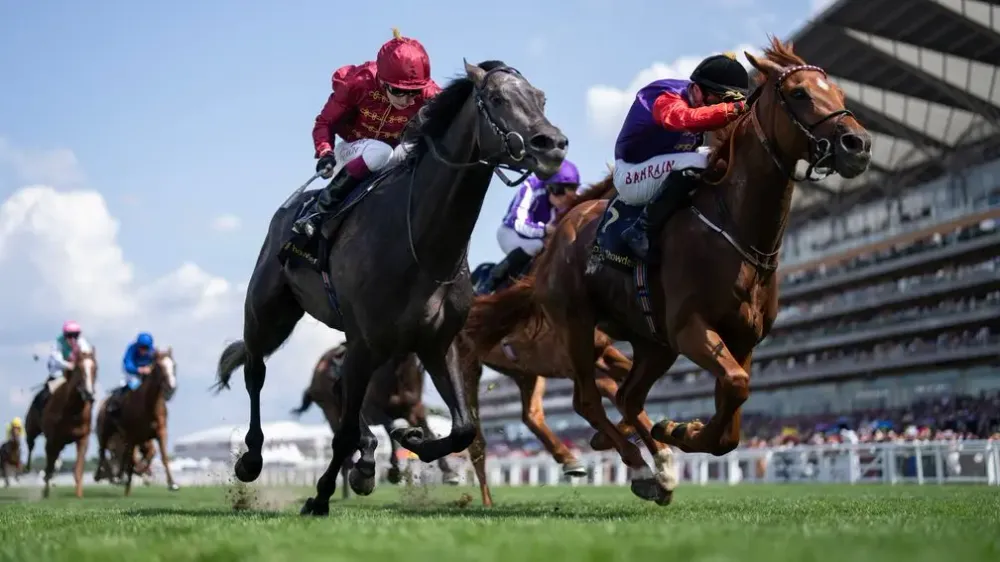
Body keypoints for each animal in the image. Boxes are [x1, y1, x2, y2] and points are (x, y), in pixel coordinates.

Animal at [24, 345, 98, 498]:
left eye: (95, 368)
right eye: (79, 369)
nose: (89, 394)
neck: (72, 411)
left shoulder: (83, 438)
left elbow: (78, 469)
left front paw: (79, 494)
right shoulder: (52, 439)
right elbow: (49, 466)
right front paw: (45, 491)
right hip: (32, 428)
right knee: (31, 444)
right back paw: (28, 468)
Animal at [96, 347, 179, 495]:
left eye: (174, 365)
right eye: (159, 366)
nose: (171, 388)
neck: (148, 405)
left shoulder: (159, 432)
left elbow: (161, 456)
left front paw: (172, 483)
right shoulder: (133, 435)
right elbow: (131, 460)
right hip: (105, 432)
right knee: (102, 452)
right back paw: (105, 475)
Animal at [290, 344, 461, 500]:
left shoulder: (415, 410)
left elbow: (429, 433)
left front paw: (449, 472)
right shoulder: (371, 410)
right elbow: (391, 427)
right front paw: (394, 471)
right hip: (330, 410)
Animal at [465, 37, 872, 504]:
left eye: (839, 93)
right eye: (800, 93)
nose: (858, 144)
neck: (733, 226)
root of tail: (556, 241)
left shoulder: (742, 338)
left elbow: (732, 416)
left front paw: (678, 430)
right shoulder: (689, 328)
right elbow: (734, 386)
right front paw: (679, 430)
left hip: (649, 343)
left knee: (623, 397)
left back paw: (653, 463)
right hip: (576, 326)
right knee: (587, 401)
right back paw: (638, 466)